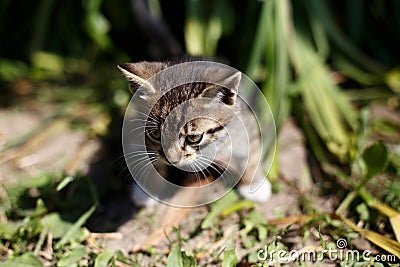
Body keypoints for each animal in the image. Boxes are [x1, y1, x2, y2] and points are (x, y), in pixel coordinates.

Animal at [117, 60, 270, 207]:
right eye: (155, 134)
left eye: (194, 137)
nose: (172, 161)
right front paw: (149, 189)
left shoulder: (243, 123)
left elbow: (252, 152)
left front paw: (254, 185)